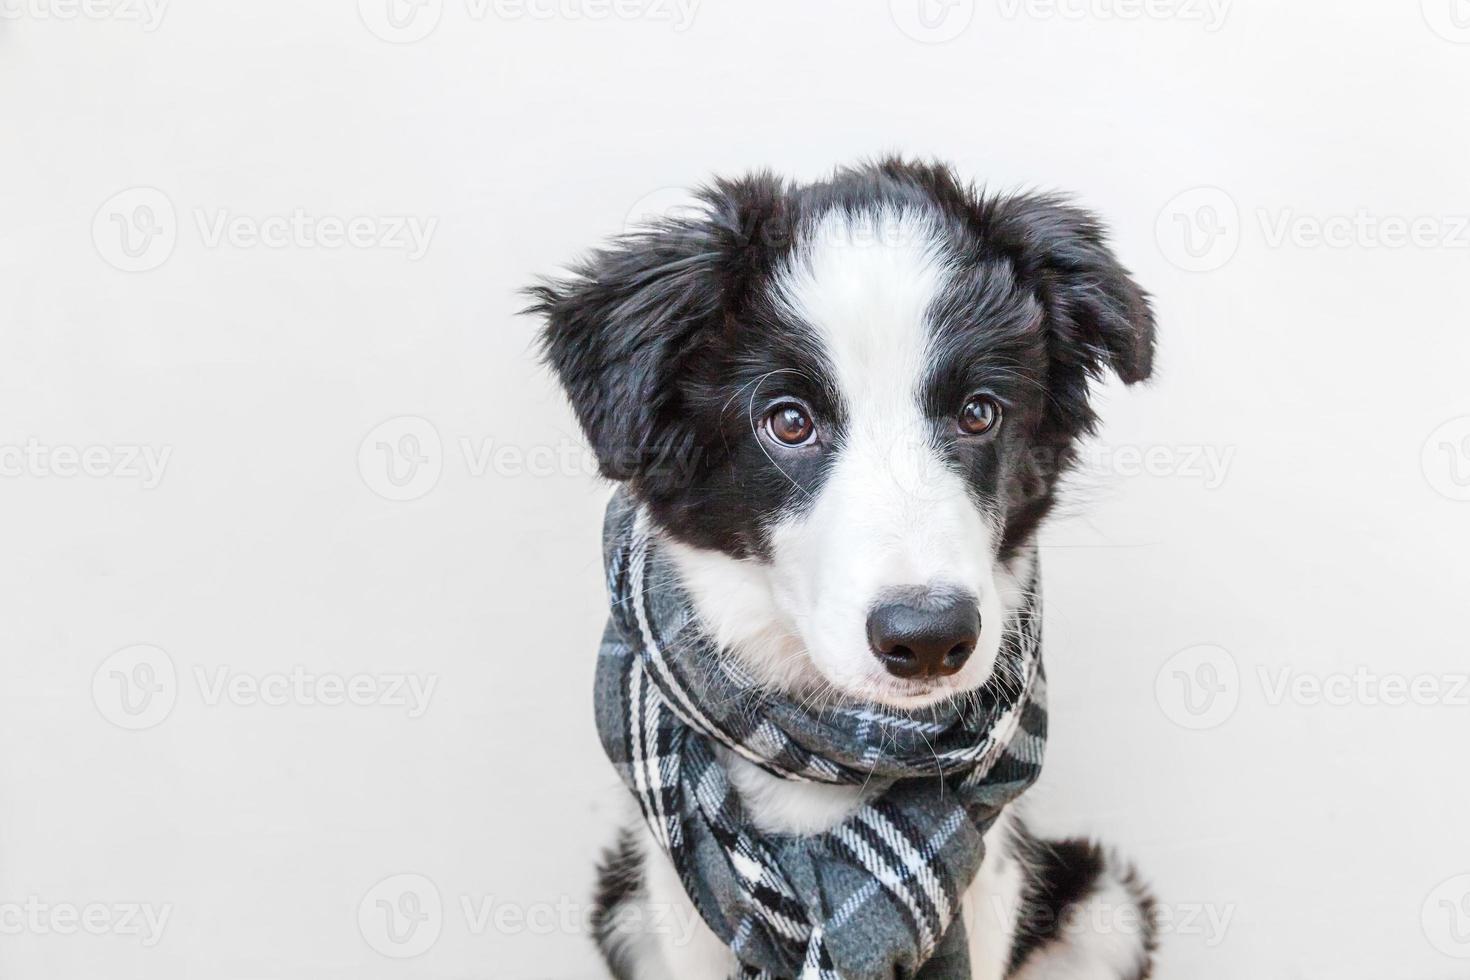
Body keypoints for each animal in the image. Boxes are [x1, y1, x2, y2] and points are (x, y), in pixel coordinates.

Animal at [529, 160, 1158, 980]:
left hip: (1108, 911)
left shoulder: (994, 886)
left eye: (979, 412)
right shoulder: (678, 905)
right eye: (789, 422)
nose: (929, 637)